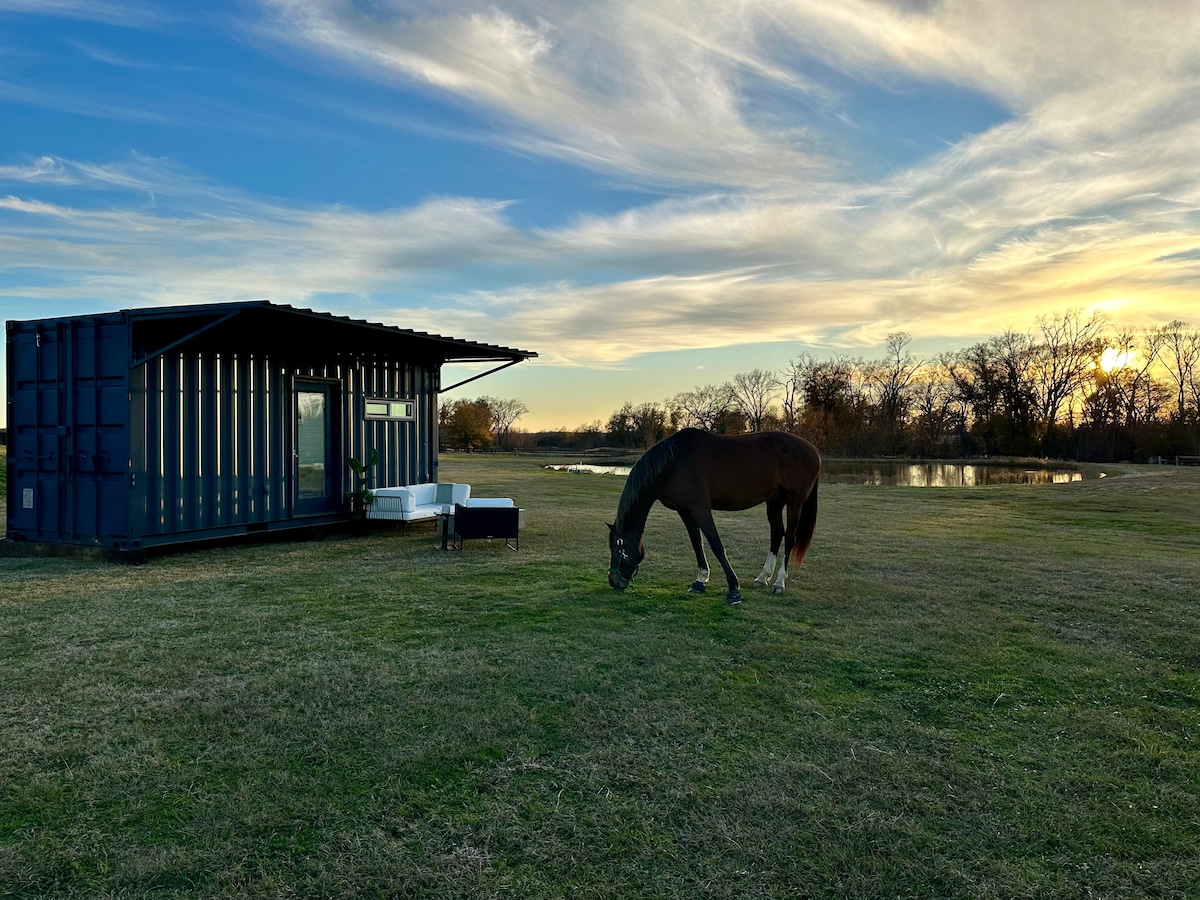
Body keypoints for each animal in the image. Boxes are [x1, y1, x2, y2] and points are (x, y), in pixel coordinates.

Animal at [604, 429, 820, 607]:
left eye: (618, 545)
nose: (613, 581)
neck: (674, 462)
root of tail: (813, 451)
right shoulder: (685, 511)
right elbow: (697, 543)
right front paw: (700, 581)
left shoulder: (701, 509)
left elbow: (716, 545)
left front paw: (733, 589)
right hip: (774, 502)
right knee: (776, 534)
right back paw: (762, 578)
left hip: (794, 502)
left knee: (789, 537)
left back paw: (779, 582)